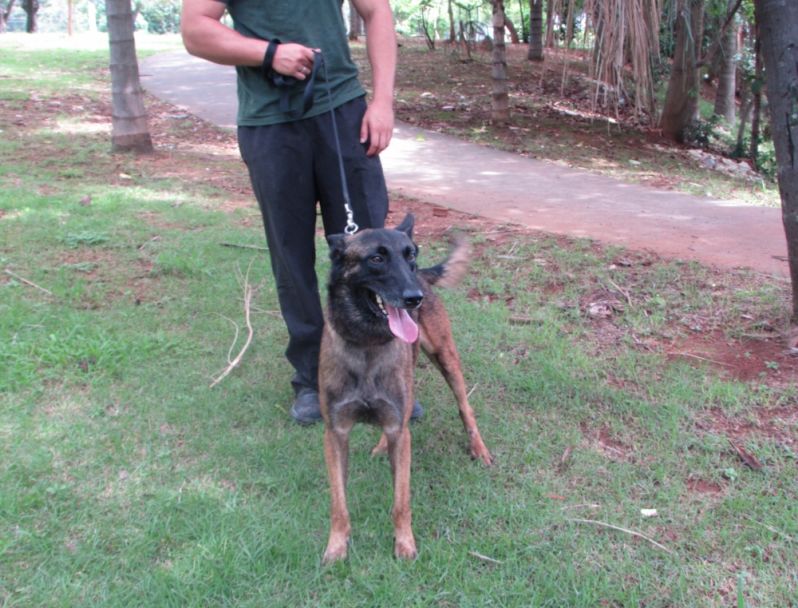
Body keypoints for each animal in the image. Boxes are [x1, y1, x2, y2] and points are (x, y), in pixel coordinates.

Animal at [318, 215, 494, 564]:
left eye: (410, 254)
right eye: (376, 258)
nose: (415, 298)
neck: (367, 344)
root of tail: (424, 277)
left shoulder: (401, 434)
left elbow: (401, 500)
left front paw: (404, 543)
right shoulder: (336, 435)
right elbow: (338, 503)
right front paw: (336, 546)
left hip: (447, 360)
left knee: (464, 407)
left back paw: (478, 448)